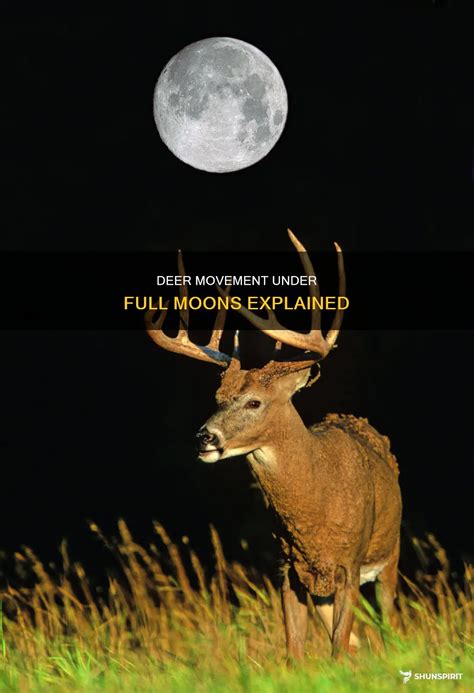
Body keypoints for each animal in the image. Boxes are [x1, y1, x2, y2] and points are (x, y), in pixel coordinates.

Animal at [145, 230, 402, 660]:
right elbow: (294, 652)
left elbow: (337, 647)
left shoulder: (348, 567)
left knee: (387, 627)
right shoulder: (288, 571)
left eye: (254, 402)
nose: (204, 437)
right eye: (218, 397)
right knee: (355, 643)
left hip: (390, 555)